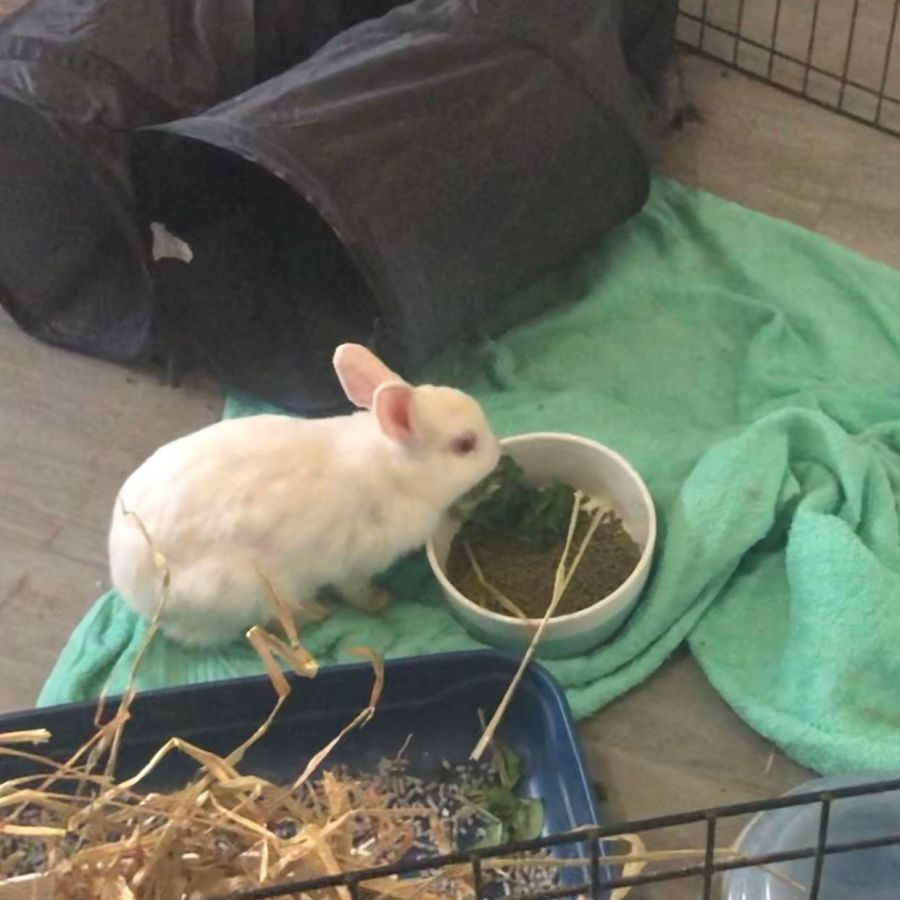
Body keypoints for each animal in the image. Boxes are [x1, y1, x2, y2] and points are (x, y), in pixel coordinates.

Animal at [108, 343, 501, 647]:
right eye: (465, 445)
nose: (497, 452)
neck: (395, 470)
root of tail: (135, 593)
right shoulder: (355, 565)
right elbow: (356, 591)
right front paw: (379, 602)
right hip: (241, 591)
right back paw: (314, 612)